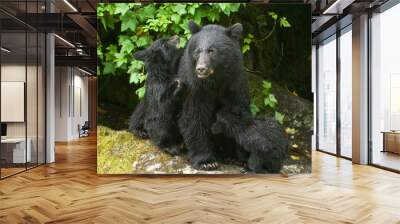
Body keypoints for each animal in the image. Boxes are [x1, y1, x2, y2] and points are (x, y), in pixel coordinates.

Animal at [177, 21, 250, 170]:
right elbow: (194, 116)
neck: (215, 81)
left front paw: (239, 157)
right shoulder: (195, 88)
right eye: (197, 51)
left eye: (212, 51)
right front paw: (206, 161)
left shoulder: (235, 83)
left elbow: (237, 114)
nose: (201, 69)